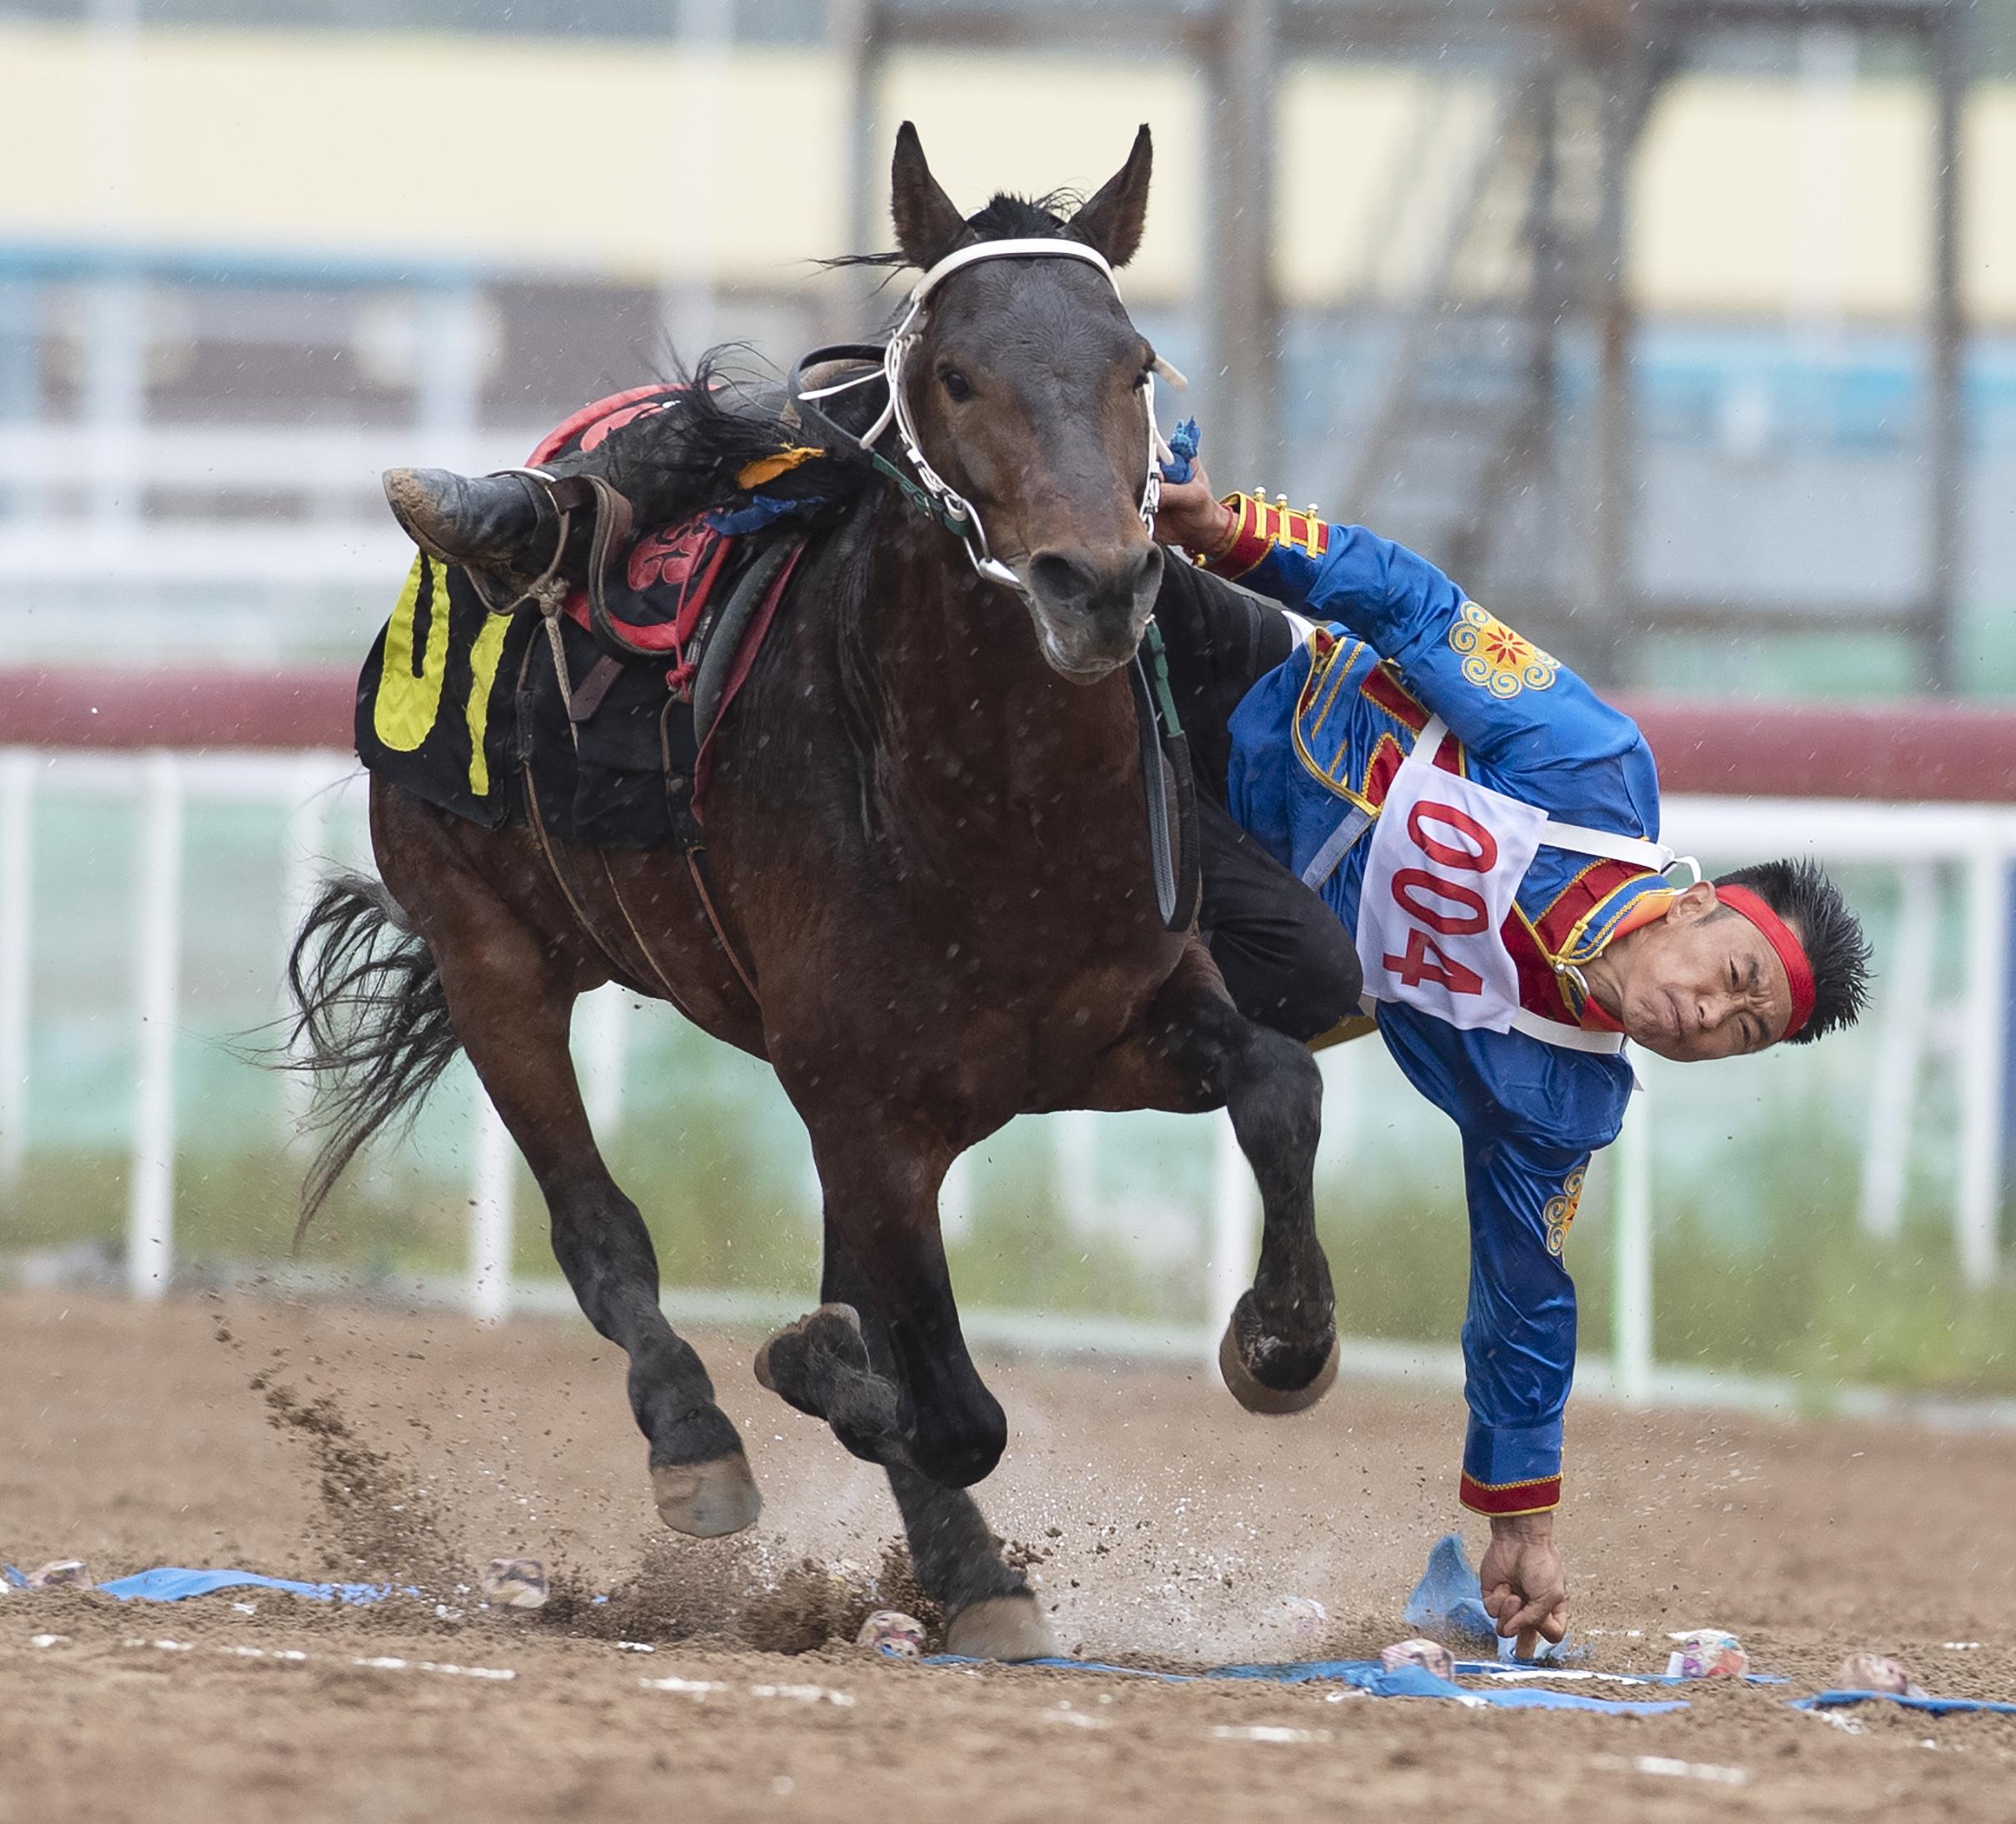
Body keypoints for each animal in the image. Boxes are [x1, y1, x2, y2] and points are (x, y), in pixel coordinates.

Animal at [292, 127, 1338, 1660]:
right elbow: (940, 1403)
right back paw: (704, 1442)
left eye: (1133, 362)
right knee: (600, 1231)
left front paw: (1280, 1338)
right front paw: (823, 1380)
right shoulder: (860, 1102)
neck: (989, 815)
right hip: (493, 955)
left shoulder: (1116, 1024)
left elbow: (1278, 1083)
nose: (1096, 585)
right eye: (955, 373)